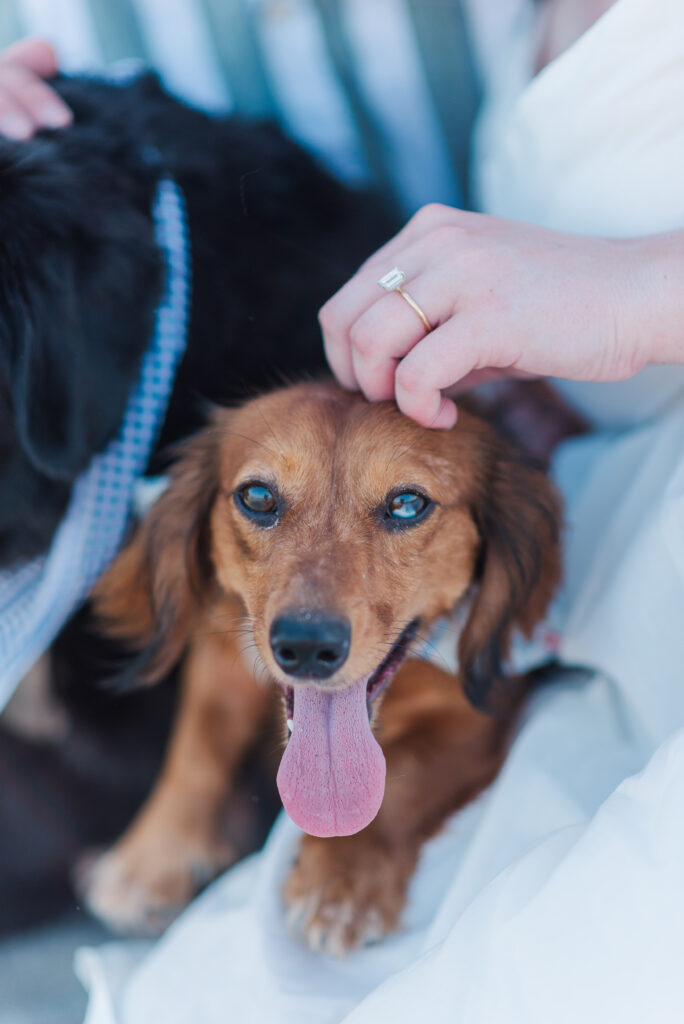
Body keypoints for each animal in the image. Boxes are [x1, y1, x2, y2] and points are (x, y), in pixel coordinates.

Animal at [82, 382, 561, 950]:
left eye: (407, 504)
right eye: (258, 497)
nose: (306, 646)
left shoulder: (477, 719)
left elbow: (403, 776)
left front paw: (342, 882)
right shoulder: (222, 659)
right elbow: (195, 751)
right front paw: (151, 860)